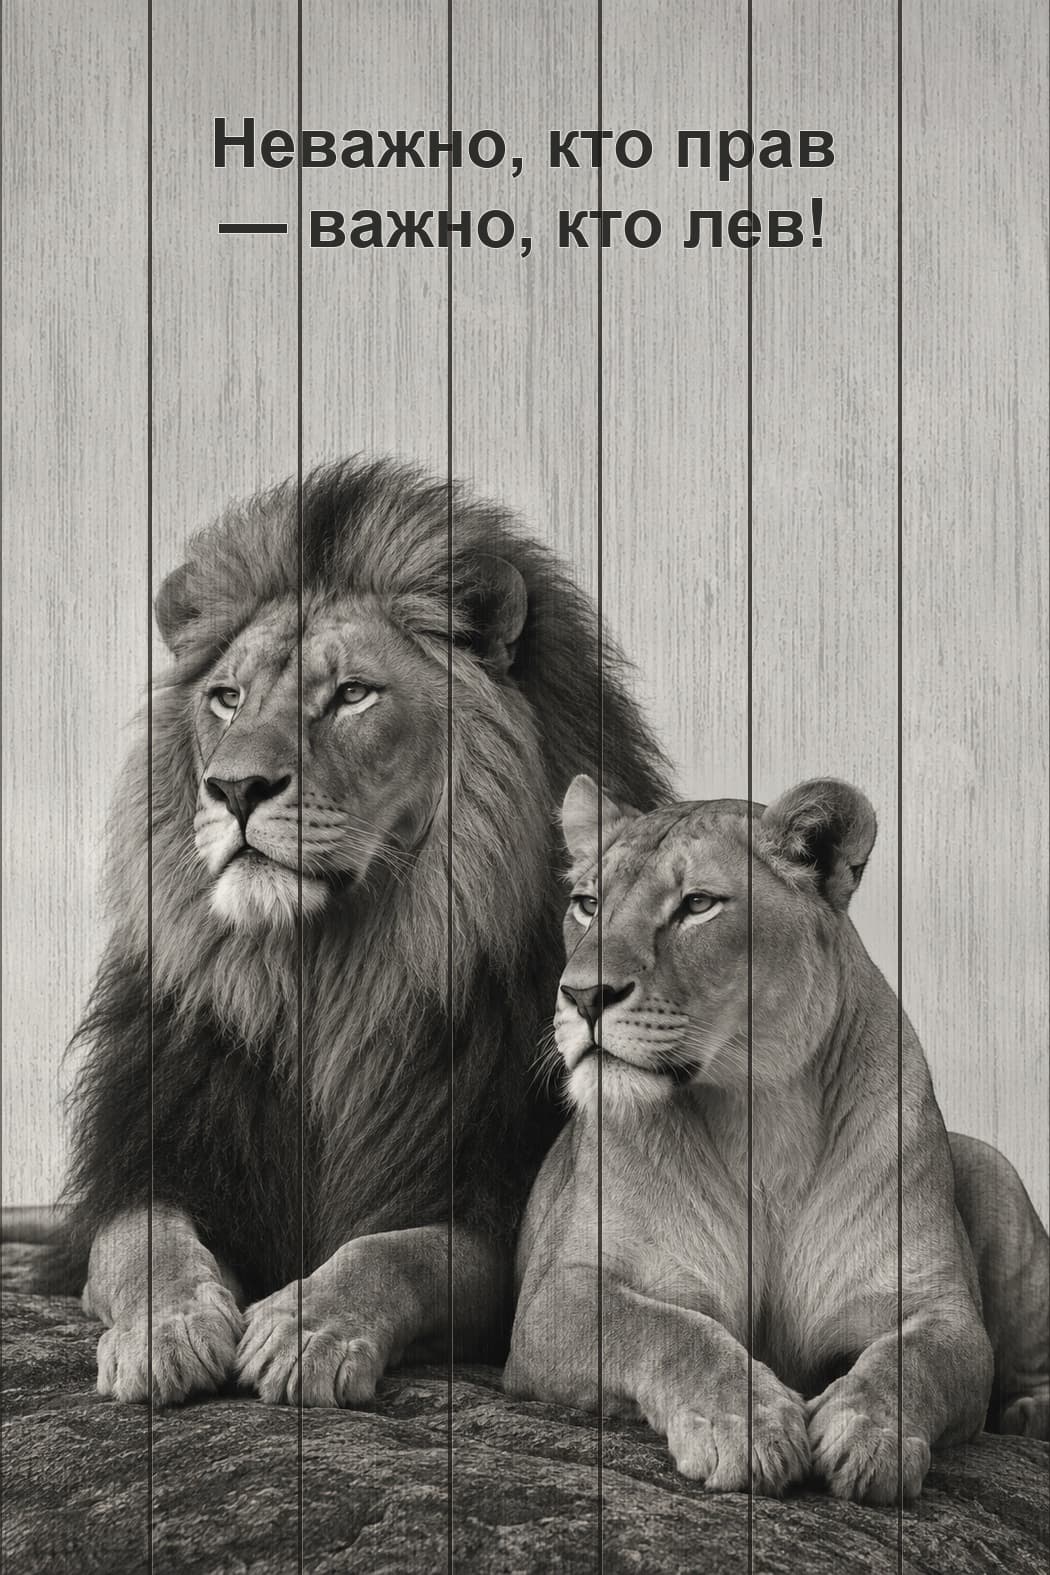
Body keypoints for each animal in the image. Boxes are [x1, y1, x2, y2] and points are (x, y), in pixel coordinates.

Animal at [45, 457, 670, 1406]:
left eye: (351, 695)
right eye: (226, 698)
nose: (234, 788)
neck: (331, 976)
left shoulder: (491, 1206)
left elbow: (394, 1251)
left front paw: (306, 1329)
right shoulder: (152, 1157)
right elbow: (140, 1243)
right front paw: (167, 1329)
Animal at [505, 775, 1049, 1503]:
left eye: (697, 904)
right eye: (588, 904)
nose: (582, 996)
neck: (760, 1118)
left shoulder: (942, 1308)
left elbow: (916, 1359)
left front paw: (865, 1430)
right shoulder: (555, 1297)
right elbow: (666, 1329)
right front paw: (746, 1425)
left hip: (995, 1169)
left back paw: (1031, 1416)